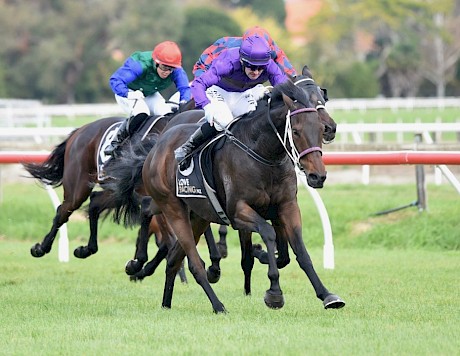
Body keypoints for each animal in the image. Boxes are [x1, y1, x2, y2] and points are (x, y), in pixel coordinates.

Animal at [107, 80, 344, 312]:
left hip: (197, 215)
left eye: (319, 129)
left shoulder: (287, 207)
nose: (317, 176)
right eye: (295, 131)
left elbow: (300, 253)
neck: (264, 155)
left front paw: (327, 295)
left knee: (172, 254)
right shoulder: (238, 211)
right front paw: (274, 292)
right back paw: (216, 304)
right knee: (192, 261)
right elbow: (268, 233)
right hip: (173, 209)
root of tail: (156, 148)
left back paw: (165, 302)